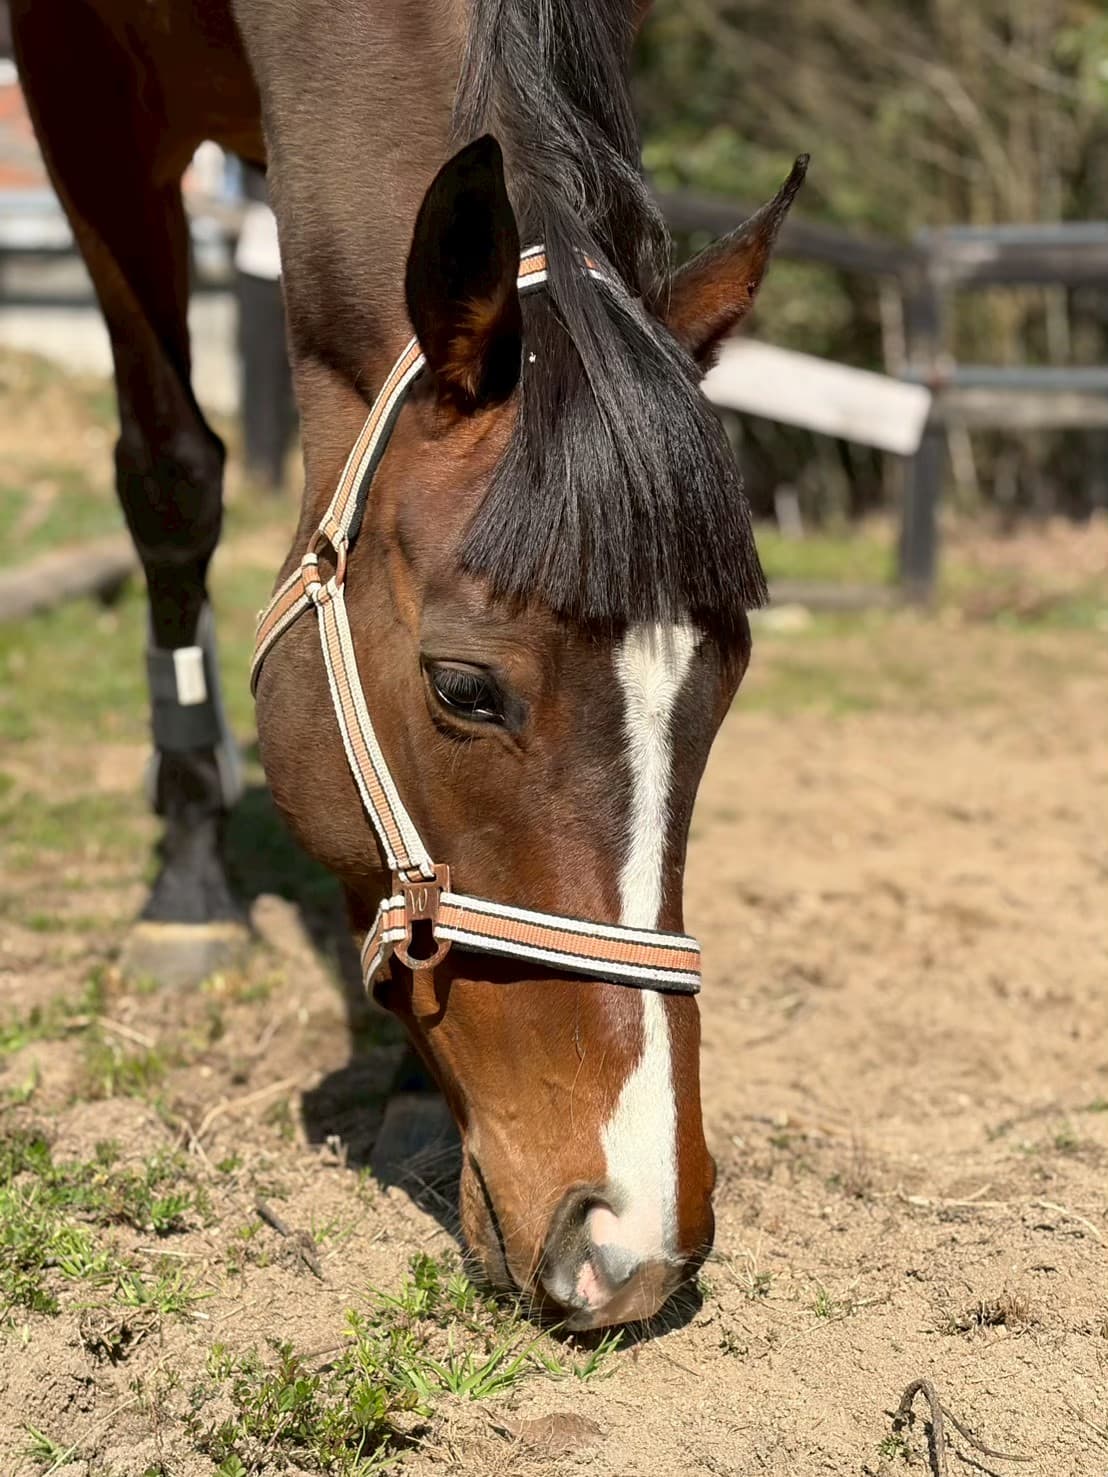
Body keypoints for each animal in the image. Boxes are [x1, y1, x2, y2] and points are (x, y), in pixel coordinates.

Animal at [11, 0, 804, 1329]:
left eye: (728, 681)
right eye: (463, 689)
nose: (634, 1242)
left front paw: (413, 1094)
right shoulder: (84, 101)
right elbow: (170, 470)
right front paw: (187, 887)